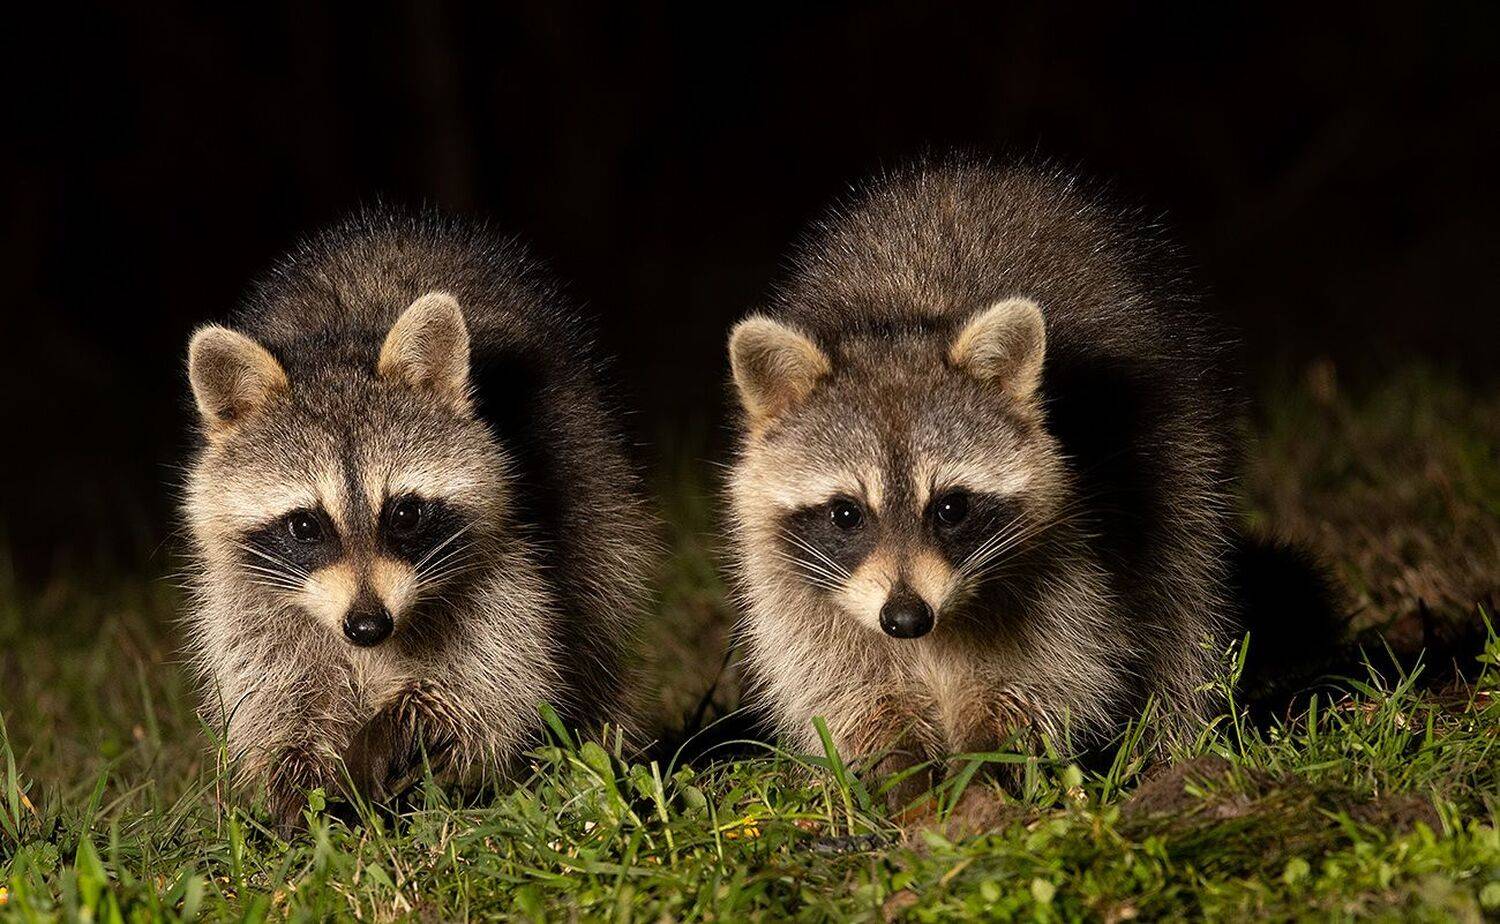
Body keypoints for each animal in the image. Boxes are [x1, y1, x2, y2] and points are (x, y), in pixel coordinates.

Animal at [182, 209, 655, 828]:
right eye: (305, 525)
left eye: (404, 513)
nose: (367, 627)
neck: (340, 345)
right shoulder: (247, 595)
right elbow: (268, 691)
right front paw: (298, 786)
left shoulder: (507, 552)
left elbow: (499, 675)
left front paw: (414, 720)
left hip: (596, 486)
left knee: (592, 615)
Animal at [727, 160, 1245, 796]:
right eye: (846, 513)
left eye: (951, 507)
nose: (906, 620)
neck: (906, 325)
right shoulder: (790, 584)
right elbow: (845, 684)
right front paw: (902, 774)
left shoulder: (1069, 554)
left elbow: (1047, 672)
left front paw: (982, 770)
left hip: (1185, 445)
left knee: (1182, 593)